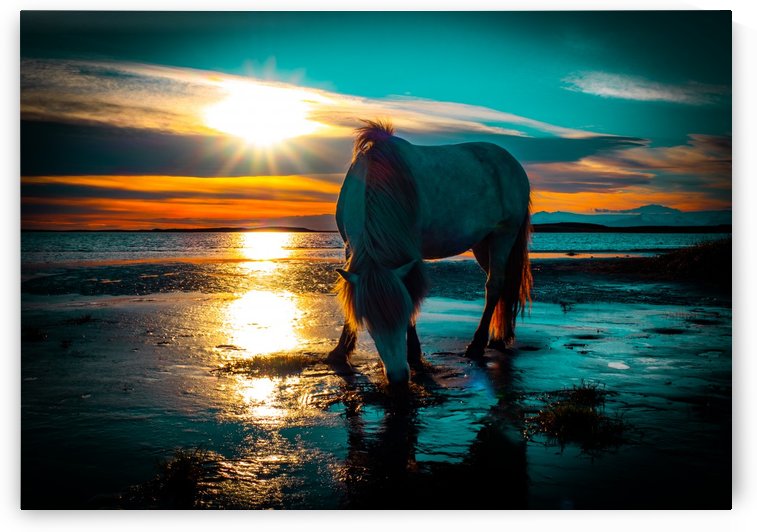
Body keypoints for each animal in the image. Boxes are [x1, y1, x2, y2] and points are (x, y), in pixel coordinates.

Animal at [328, 120, 532, 385]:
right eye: (369, 322)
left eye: (402, 314)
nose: (398, 377)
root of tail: (512, 164)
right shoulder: (350, 248)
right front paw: (341, 350)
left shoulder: (409, 252)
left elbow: (411, 291)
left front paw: (414, 353)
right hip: (482, 244)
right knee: (504, 284)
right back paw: (499, 338)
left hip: (503, 235)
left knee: (495, 284)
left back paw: (477, 345)